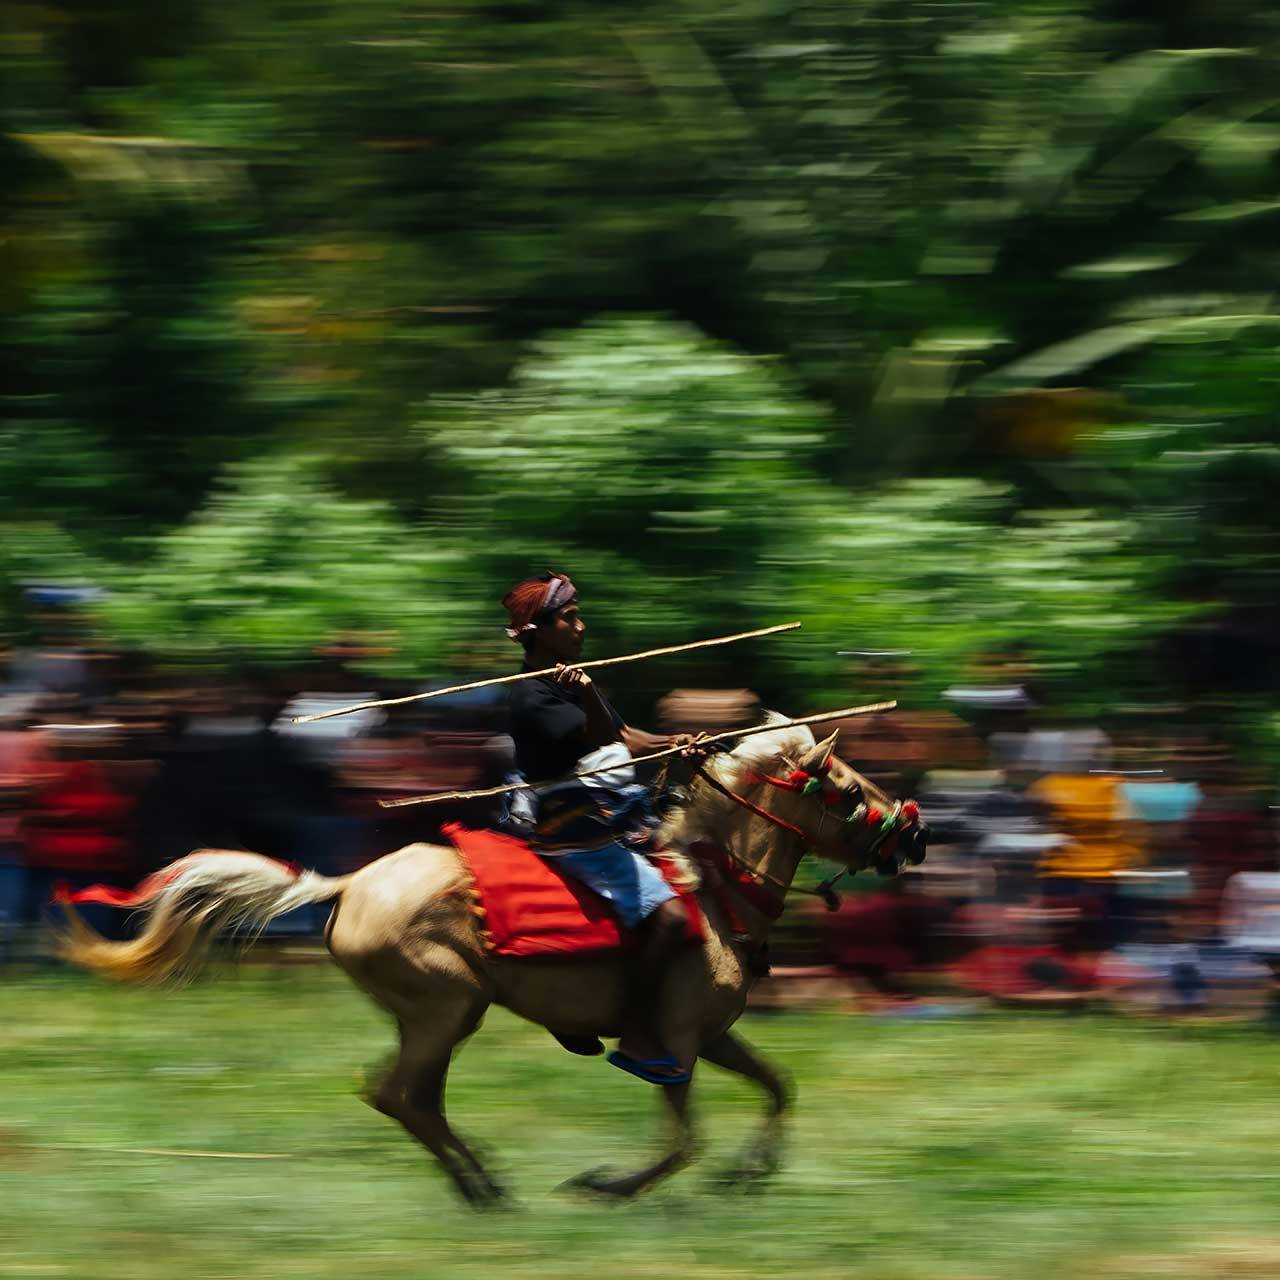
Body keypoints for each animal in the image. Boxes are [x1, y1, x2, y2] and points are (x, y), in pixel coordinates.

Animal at [60, 716, 925, 1204]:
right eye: (849, 791)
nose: (916, 834)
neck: (712, 887)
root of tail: (347, 885)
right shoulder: (676, 1040)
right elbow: (682, 1140)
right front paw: (605, 1186)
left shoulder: (711, 1035)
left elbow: (778, 1088)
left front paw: (751, 1174)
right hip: (449, 1006)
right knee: (402, 1095)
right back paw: (485, 1188)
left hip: (436, 1016)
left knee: (411, 1099)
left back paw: (481, 1182)